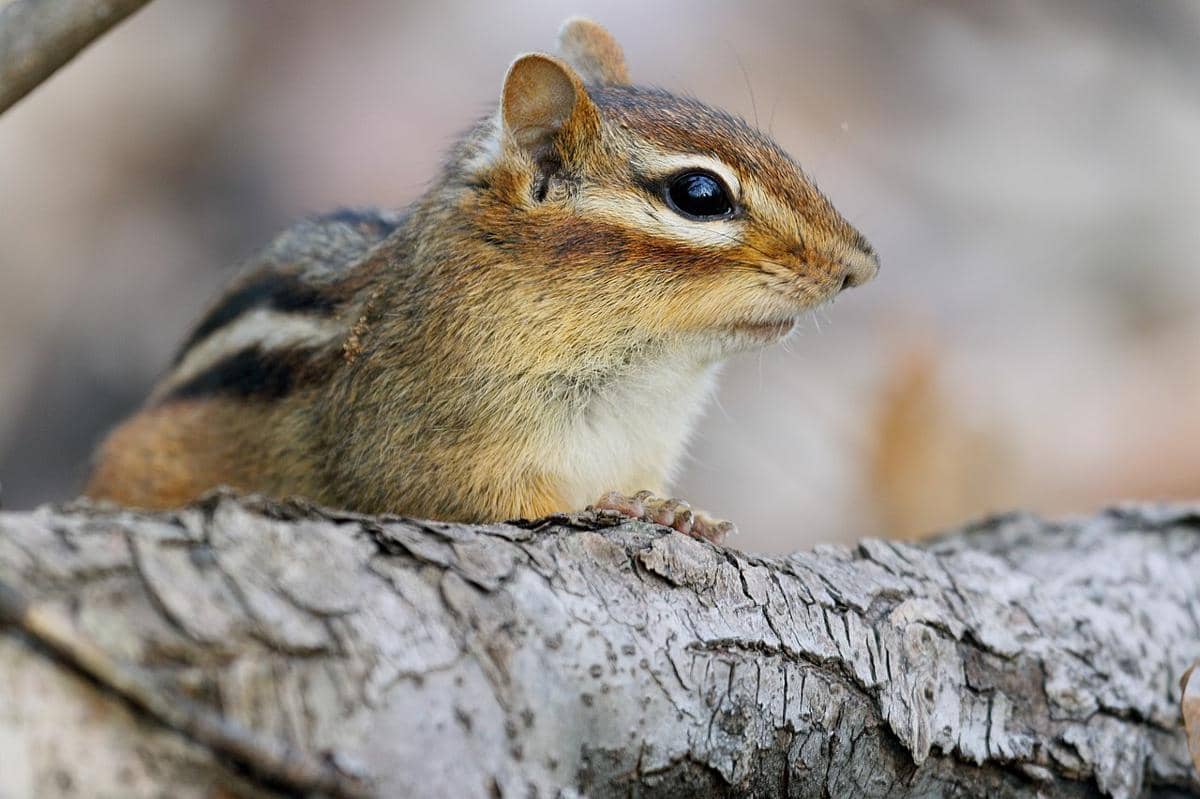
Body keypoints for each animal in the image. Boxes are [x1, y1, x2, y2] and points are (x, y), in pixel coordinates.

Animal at [84, 18, 878, 543]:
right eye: (700, 194)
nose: (860, 265)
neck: (646, 374)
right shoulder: (421, 450)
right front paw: (627, 507)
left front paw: (673, 509)